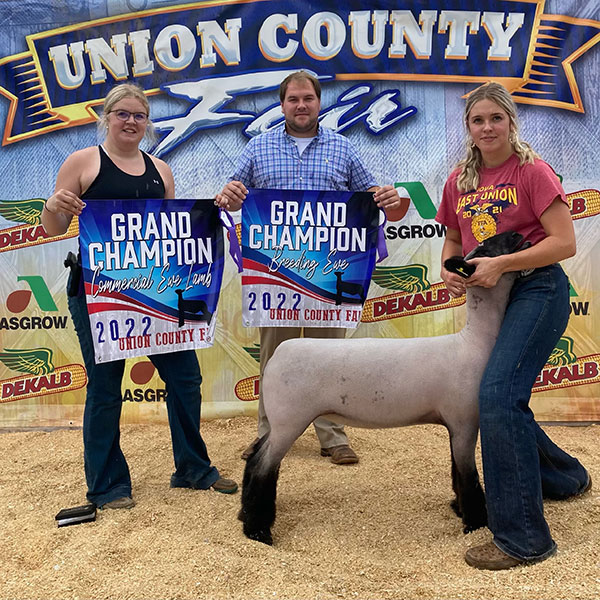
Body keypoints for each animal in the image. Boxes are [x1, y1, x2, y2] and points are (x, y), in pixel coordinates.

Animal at [239, 232, 524, 548]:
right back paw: (258, 531)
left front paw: (459, 509)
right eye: (487, 247)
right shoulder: (464, 420)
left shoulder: (454, 424)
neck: (472, 343)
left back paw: (244, 516)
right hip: (290, 420)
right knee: (263, 467)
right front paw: (475, 522)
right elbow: (467, 474)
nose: (518, 235)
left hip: (281, 421)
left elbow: (455, 470)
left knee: (255, 458)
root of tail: (278, 355)